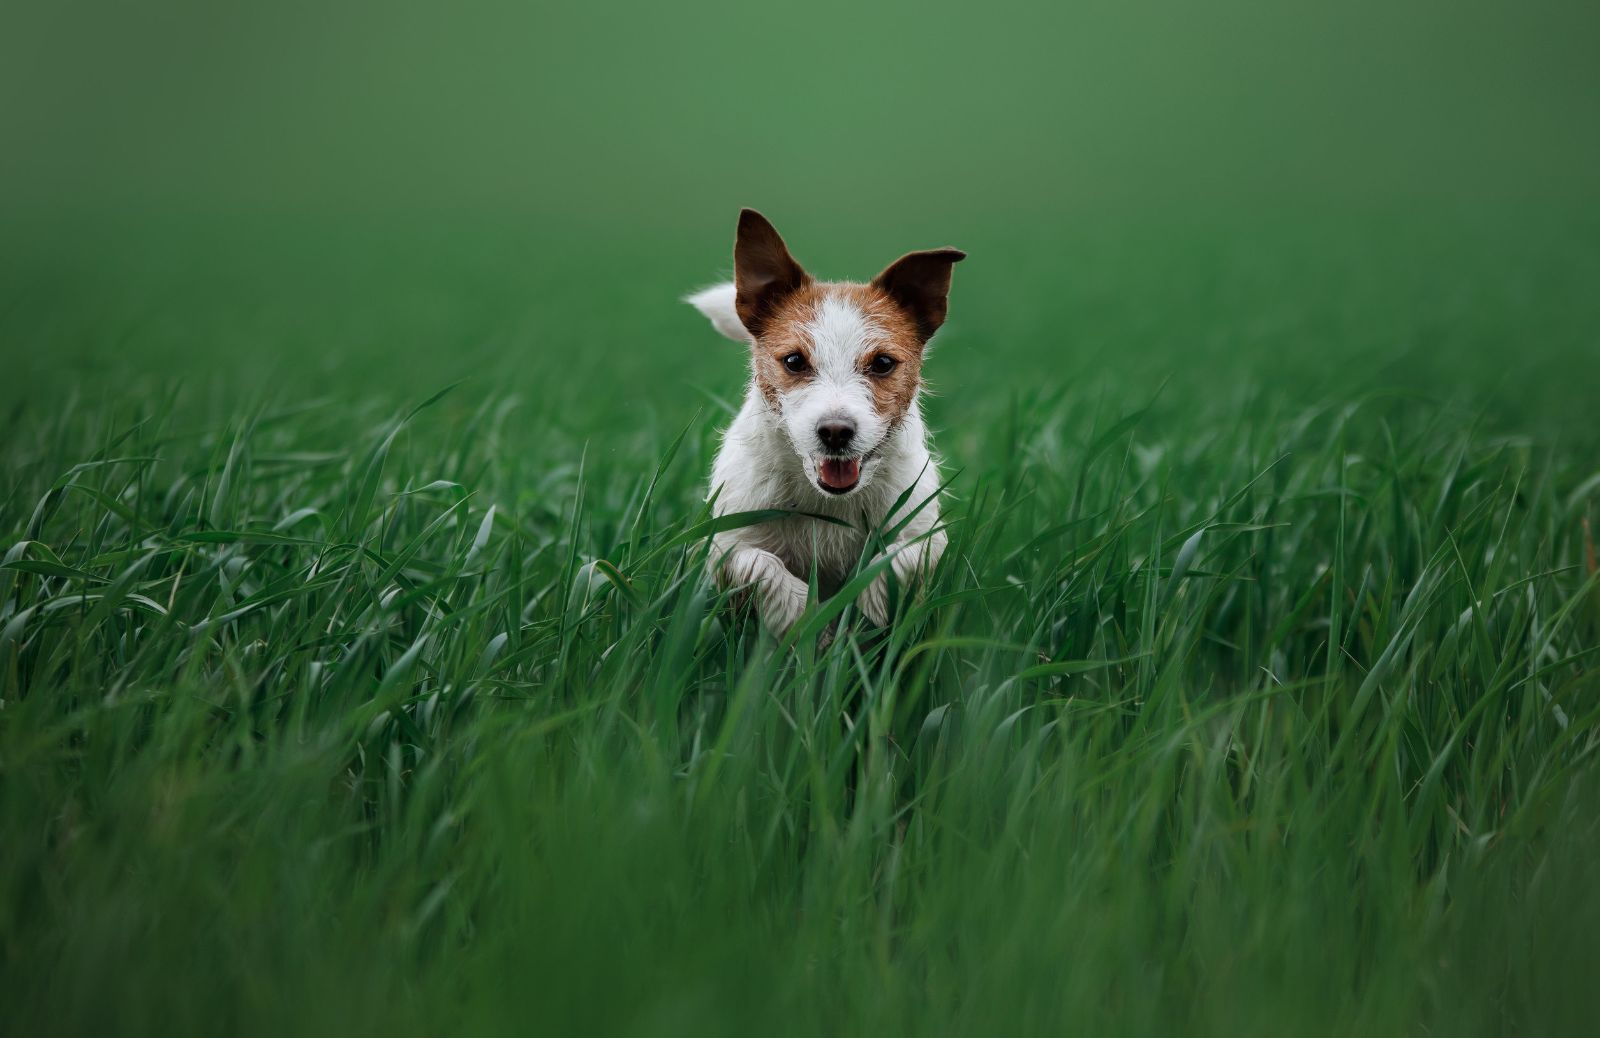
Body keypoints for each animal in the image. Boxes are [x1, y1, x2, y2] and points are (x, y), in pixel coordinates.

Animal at [681, 209, 953, 630]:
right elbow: (759, 563)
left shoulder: (925, 533)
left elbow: (899, 558)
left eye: (883, 363)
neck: (826, 501)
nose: (835, 432)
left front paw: (870, 608)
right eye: (794, 360)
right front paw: (800, 616)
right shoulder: (724, 544)